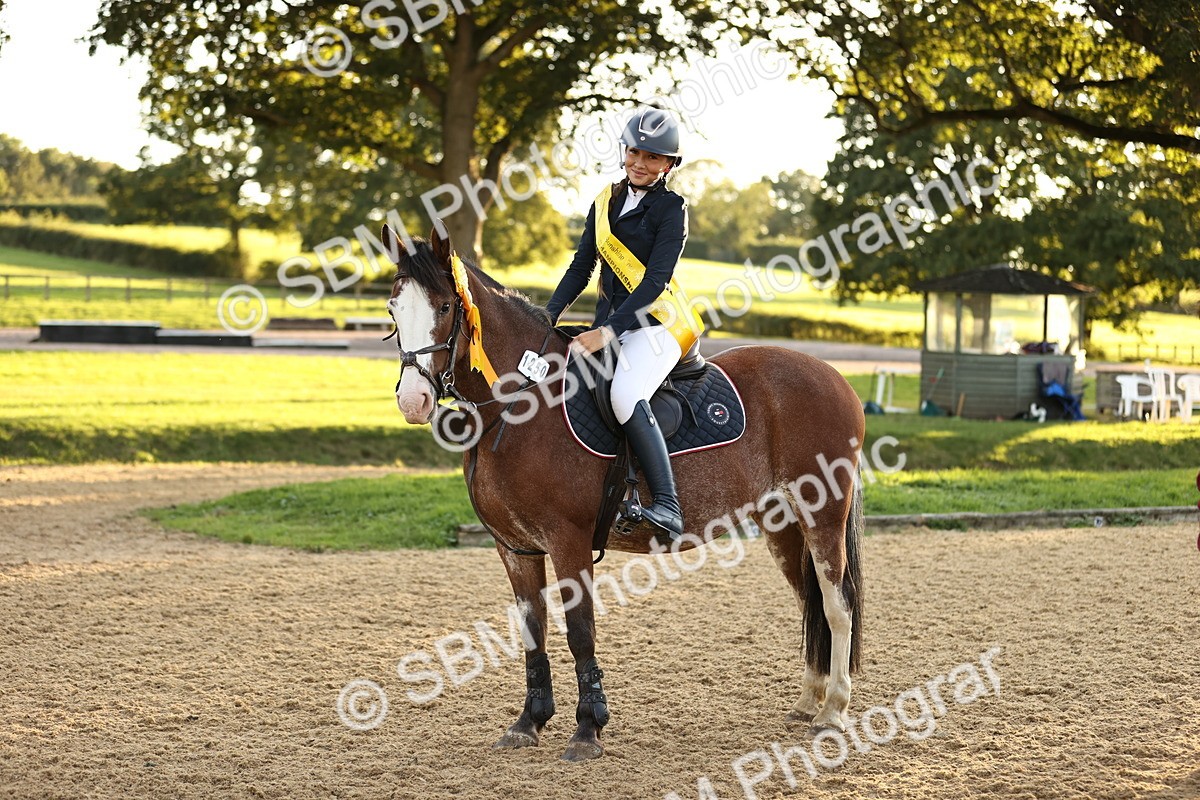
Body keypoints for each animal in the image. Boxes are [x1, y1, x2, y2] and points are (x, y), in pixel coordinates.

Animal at [384, 224, 865, 762]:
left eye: (446, 306)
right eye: (393, 308)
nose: (413, 400)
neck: (520, 404)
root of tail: (833, 376)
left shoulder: (568, 541)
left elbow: (580, 633)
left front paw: (587, 729)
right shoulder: (515, 547)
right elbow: (533, 632)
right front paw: (529, 722)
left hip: (823, 513)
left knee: (837, 603)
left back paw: (833, 711)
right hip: (782, 522)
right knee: (810, 601)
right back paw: (808, 702)